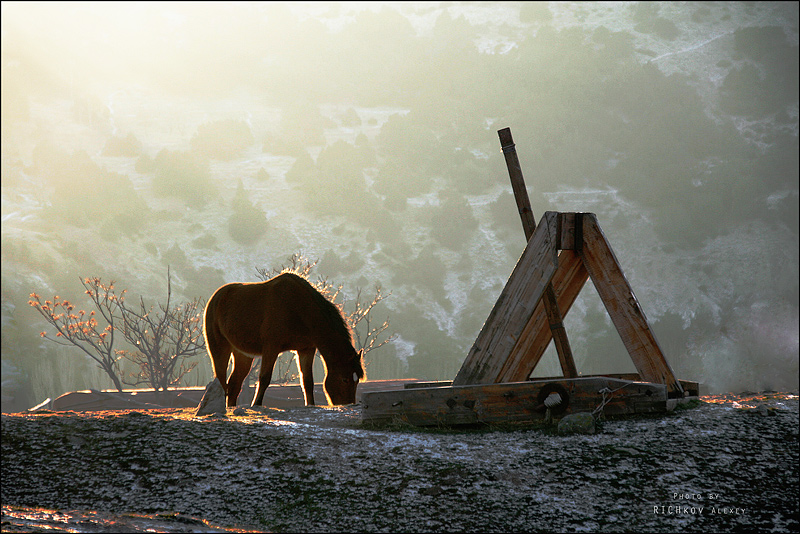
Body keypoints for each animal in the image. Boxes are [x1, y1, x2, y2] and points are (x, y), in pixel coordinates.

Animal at [202, 274, 364, 408]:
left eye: (356, 380)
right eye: (344, 379)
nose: (348, 404)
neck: (297, 308)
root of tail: (216, 298)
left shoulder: (306, 349)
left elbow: (308, 381)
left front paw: (310, 404)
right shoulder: (271, 348)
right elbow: (264, 378)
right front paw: (256, 404)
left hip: (243, 355)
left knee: (234, 385)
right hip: (219, 348)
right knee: (221, 381)